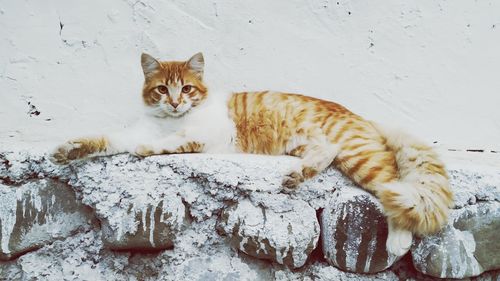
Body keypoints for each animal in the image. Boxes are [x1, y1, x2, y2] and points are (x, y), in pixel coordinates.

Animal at [49, 52, 454, 256]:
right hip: (311, 145)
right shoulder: (132, 132)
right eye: (162, 89)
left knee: (394, 189)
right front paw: (69, 149)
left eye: (187, 89)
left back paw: (399, 240)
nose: (176, 103)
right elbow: (103, 139)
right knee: (324, 155)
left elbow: (177, 141)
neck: (170, 121)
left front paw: (153, 148)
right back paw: (295, 176)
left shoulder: (208, 135)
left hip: (362, 160)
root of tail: (364, 117)